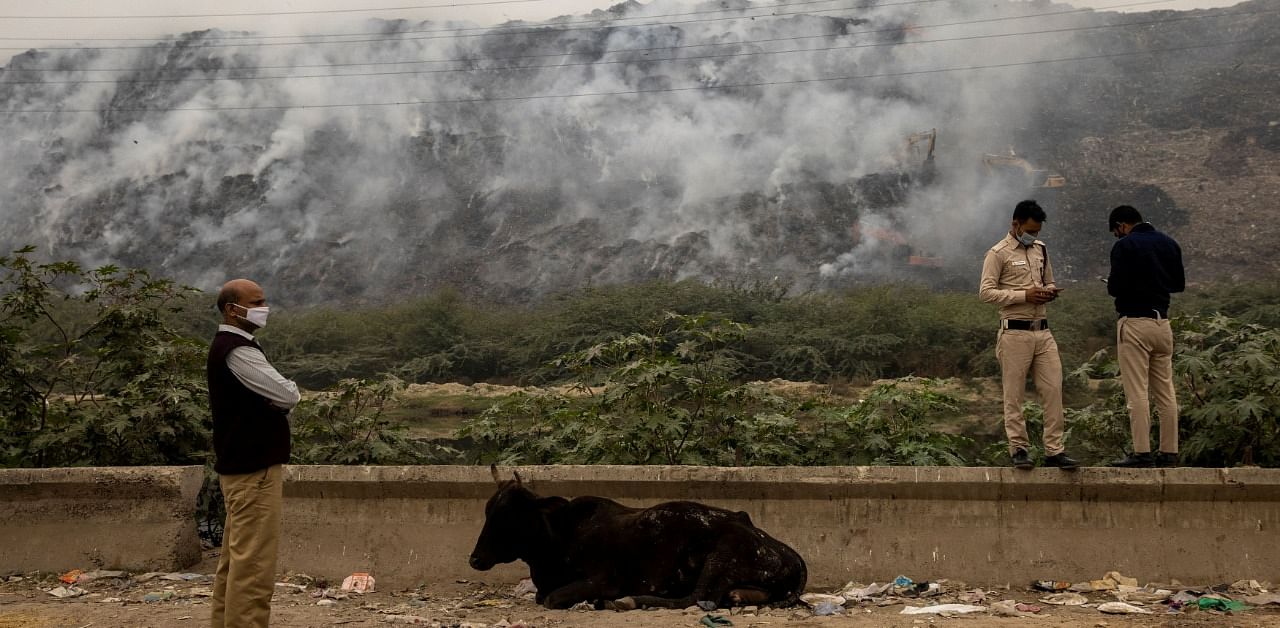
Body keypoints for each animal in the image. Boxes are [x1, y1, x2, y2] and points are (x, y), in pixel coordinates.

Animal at [471, 470, 808, 611]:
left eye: (509, 515)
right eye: (487, 511)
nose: (475, 559)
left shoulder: (603, 580)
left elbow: (551, 599)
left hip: (720, 558)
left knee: (696, 598)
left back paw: (630, 600)